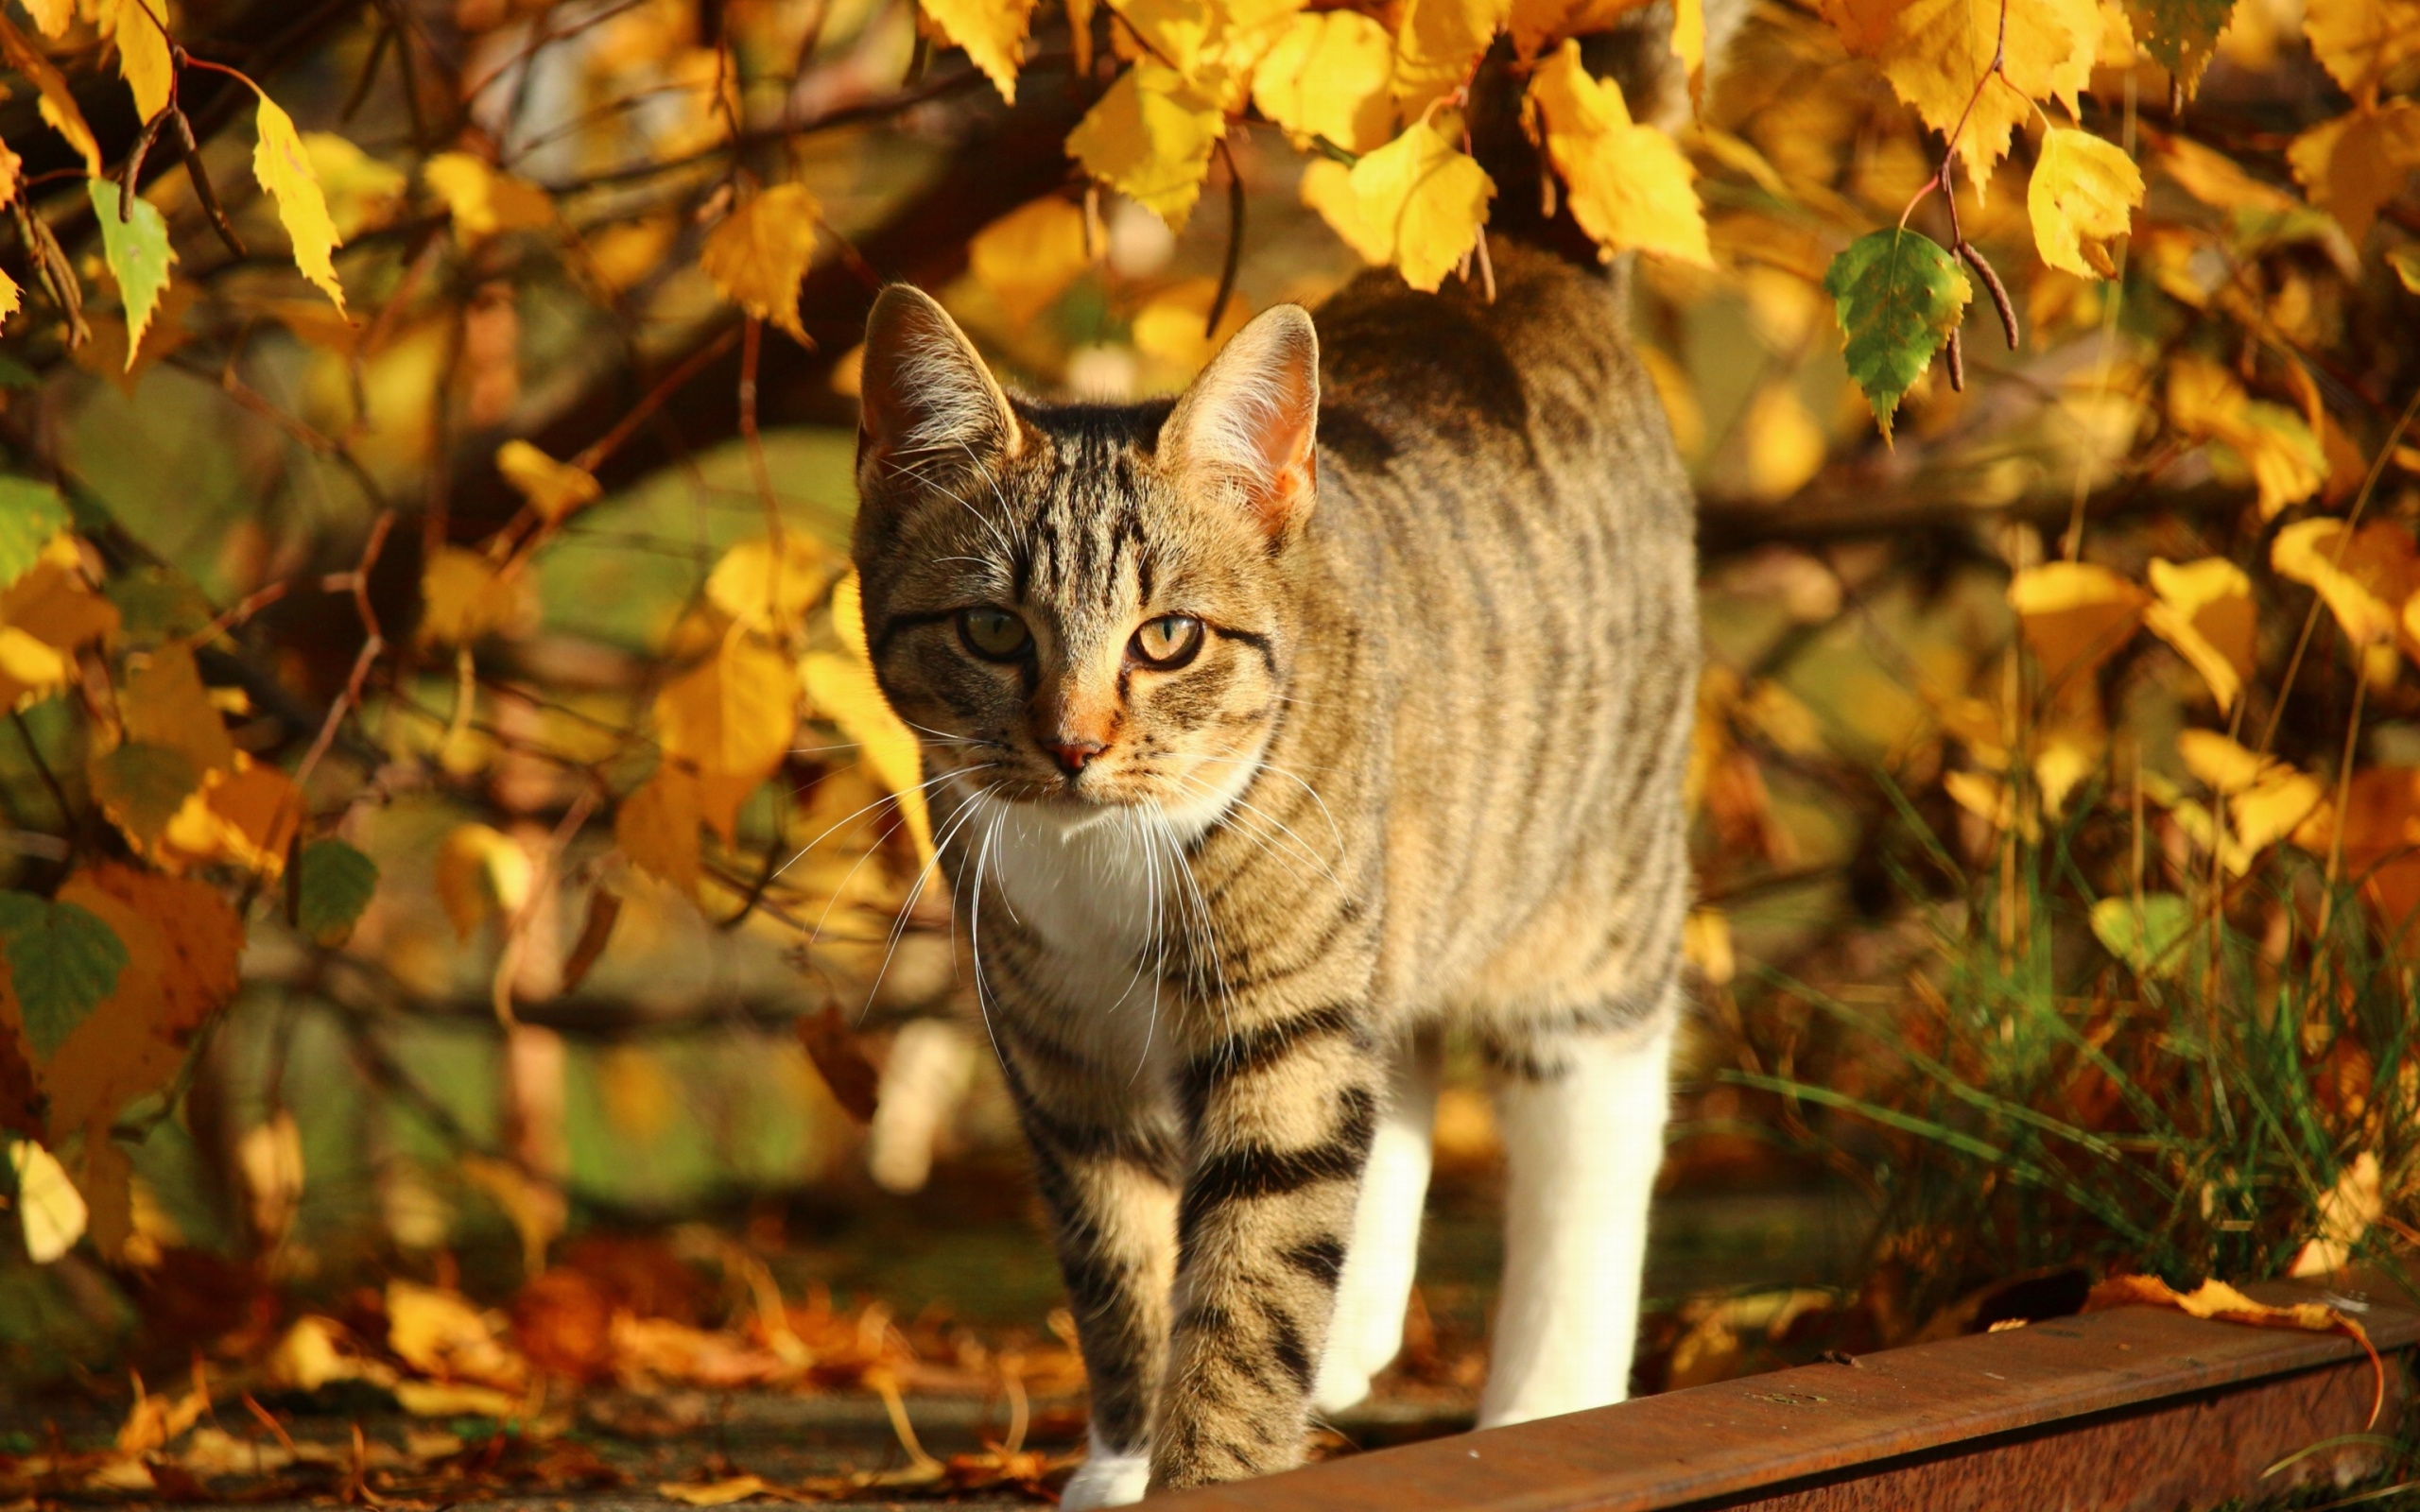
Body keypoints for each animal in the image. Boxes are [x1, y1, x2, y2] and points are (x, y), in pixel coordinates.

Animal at [852, 186, 1703, 1500]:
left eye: (1168, 639)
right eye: (992, 630)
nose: (1073, 746)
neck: (1104, 858)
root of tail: (1522, 260)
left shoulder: (1282, 1011)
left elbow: (1252, 1274)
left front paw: (1209, 1469)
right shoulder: (1061, 1053)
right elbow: (1120, 1257)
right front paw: (1124, 1454)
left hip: (1586, 883)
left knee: (1592, 1119)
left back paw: (1546, 1396)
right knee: (1395, 1053)